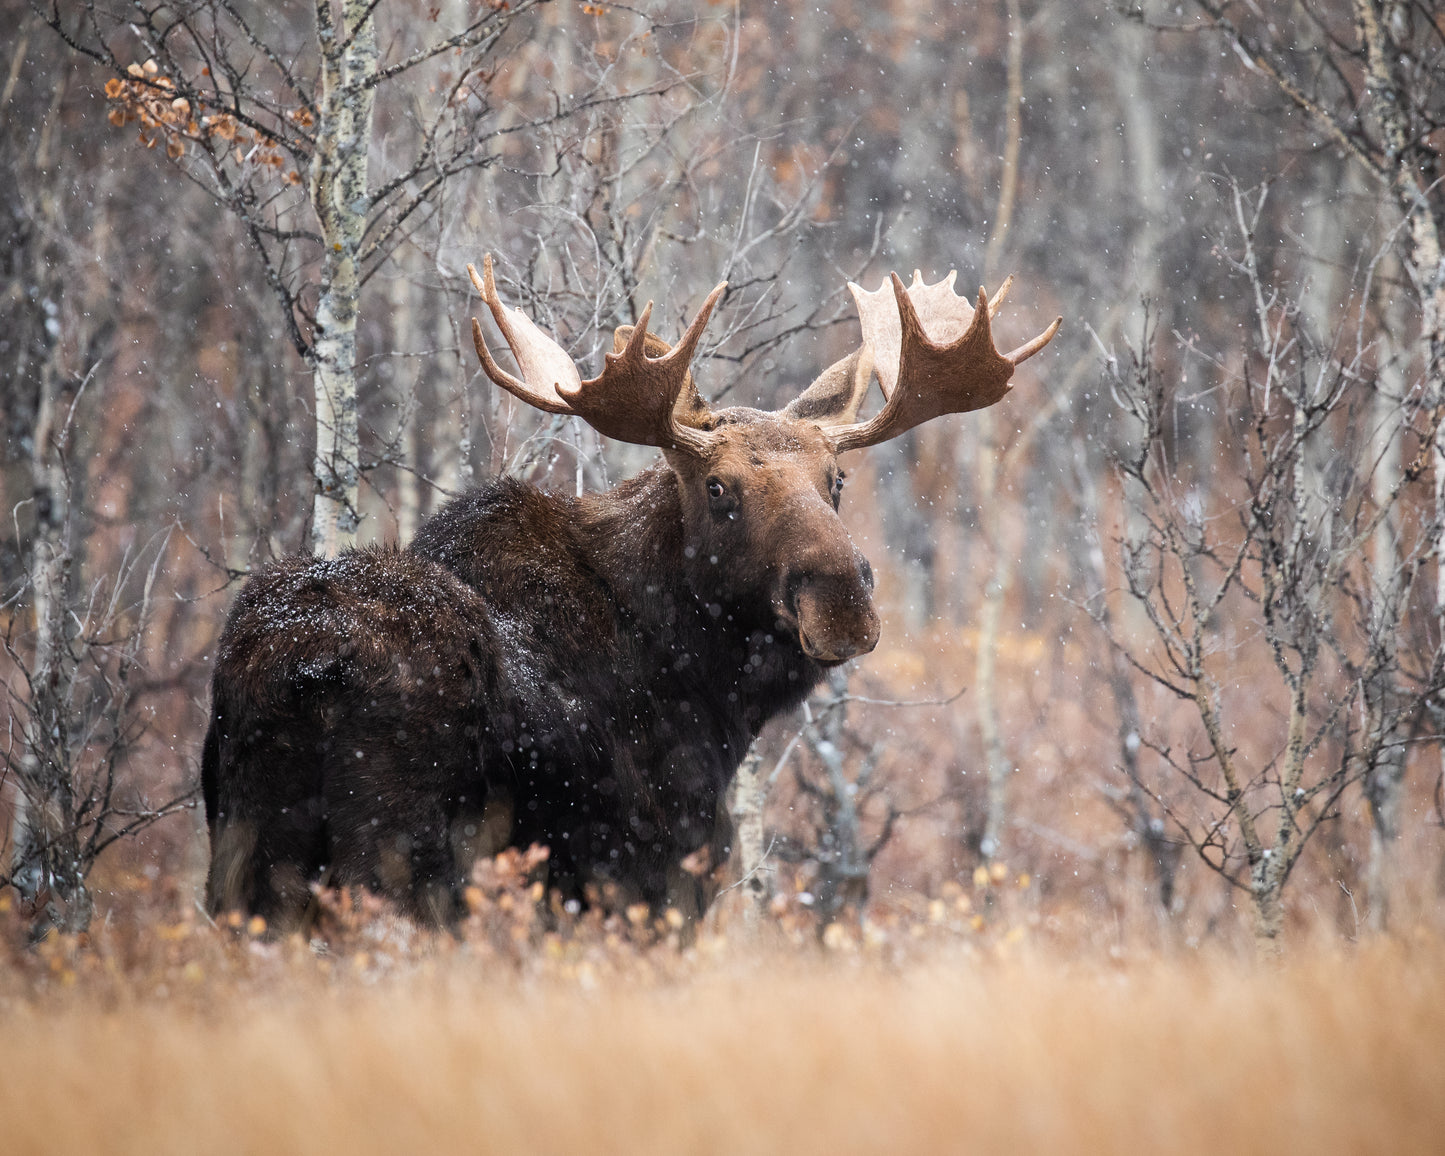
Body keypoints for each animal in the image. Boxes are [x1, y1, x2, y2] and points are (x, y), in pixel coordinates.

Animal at [201, 254, 1060, 932]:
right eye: (718, 488)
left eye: (836, 480)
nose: (841, 600)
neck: (709, 690)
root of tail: (310, 668)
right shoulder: (655, 870)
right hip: (394, 858)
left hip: (245, 862)